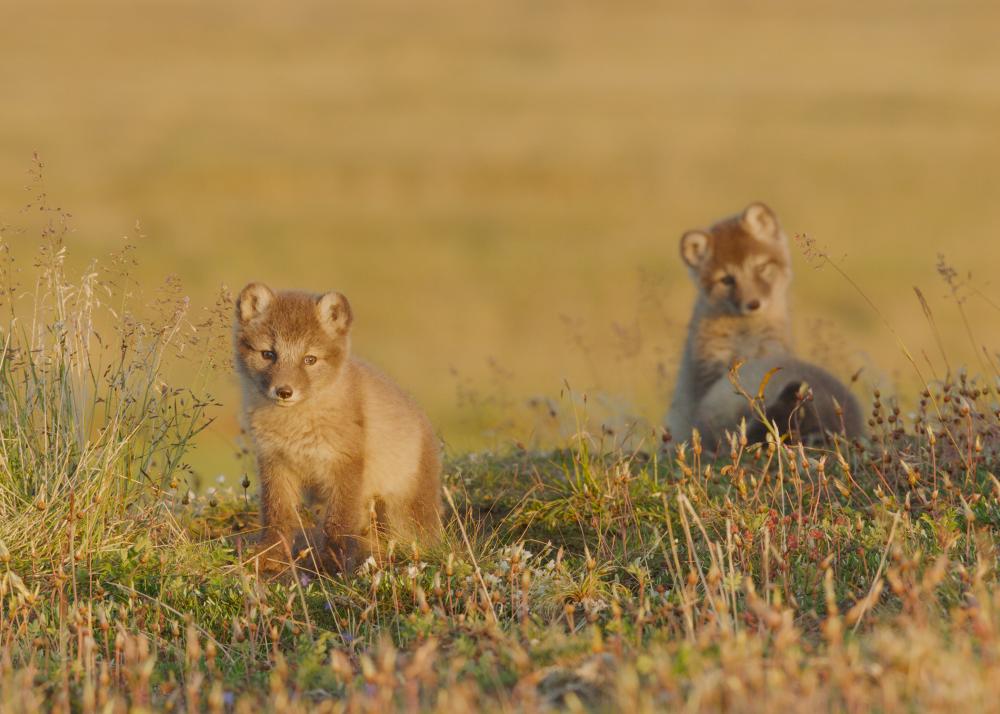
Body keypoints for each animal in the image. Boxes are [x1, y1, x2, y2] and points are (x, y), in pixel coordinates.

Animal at [234, 282, 442, 573]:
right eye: (268, 354)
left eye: (310, 359)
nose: (284, 391)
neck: (295, 426)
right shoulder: (274, 462)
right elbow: (277, 515)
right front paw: (269, 555)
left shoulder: (345, 464)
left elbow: (338, 521)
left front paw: (331, 563)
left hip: (399, 510)